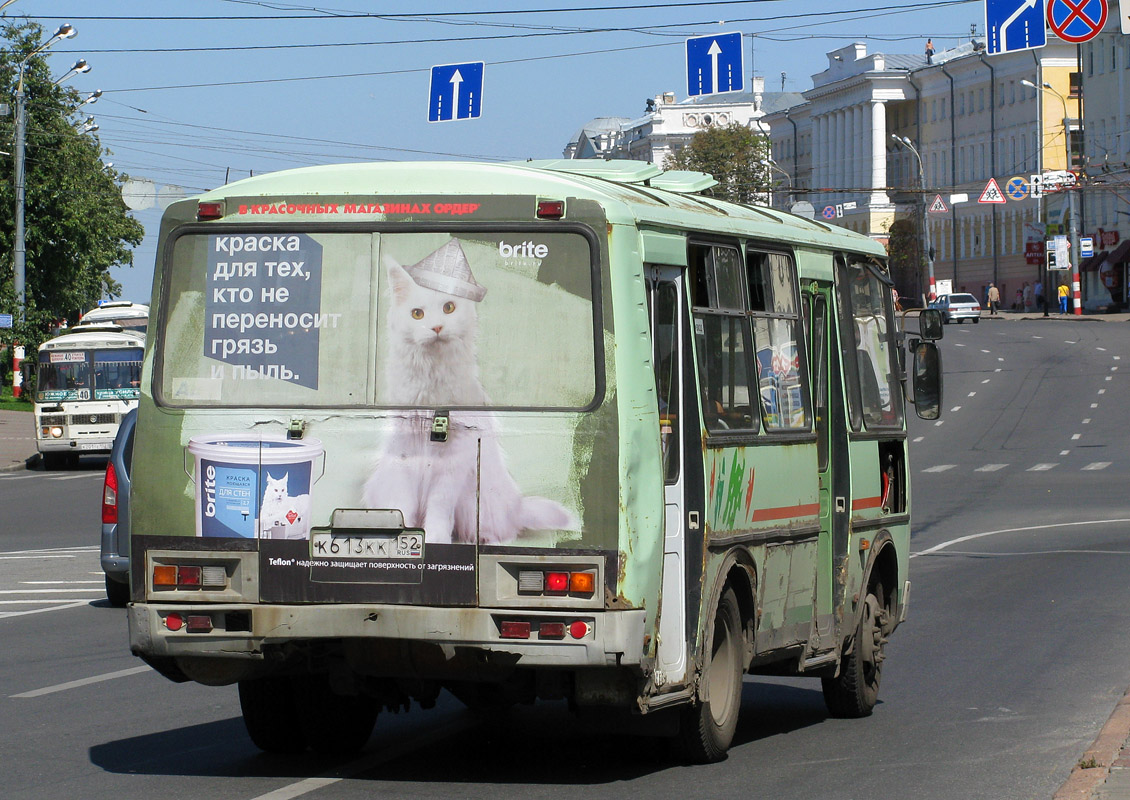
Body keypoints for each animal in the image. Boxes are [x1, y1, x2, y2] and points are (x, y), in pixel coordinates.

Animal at [359, 253, 578, 546]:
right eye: (417, 314)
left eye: (449, 307)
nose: (437, 327)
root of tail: (517, 505)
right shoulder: (403, 456)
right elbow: (403, 507)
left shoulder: (453, 464)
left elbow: (439, 511)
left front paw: (435, 540)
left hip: (477, 500)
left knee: (502, 531)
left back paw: (484, 539)